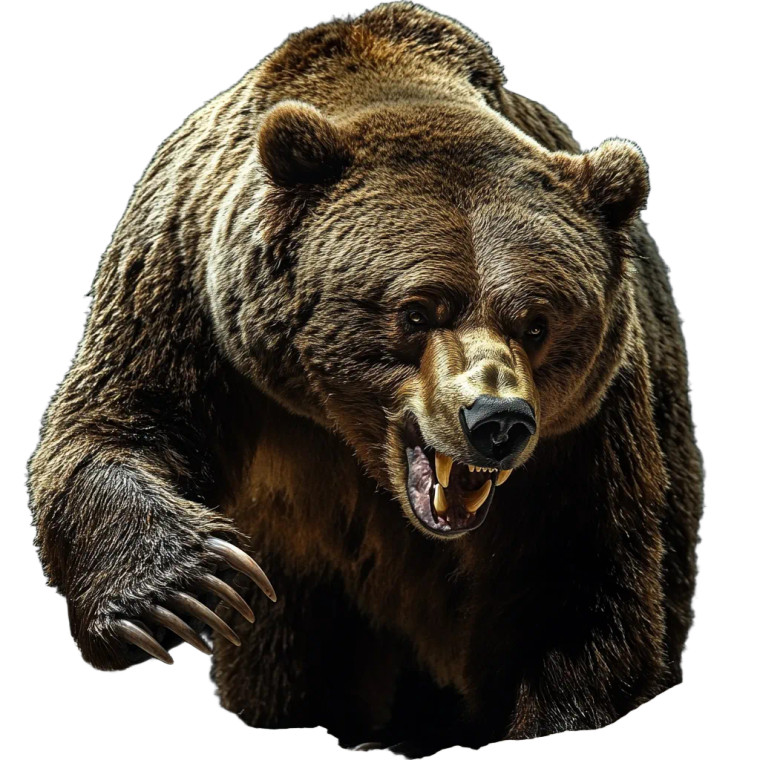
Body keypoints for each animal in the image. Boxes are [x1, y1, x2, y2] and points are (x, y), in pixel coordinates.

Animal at [27, 2, 703, 754]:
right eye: (417, 310)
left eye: (537, 322)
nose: (496, 420)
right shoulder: (189, 292)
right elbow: (116, 422)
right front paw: (183, 590)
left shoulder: (583, 434)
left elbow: (575, 594)